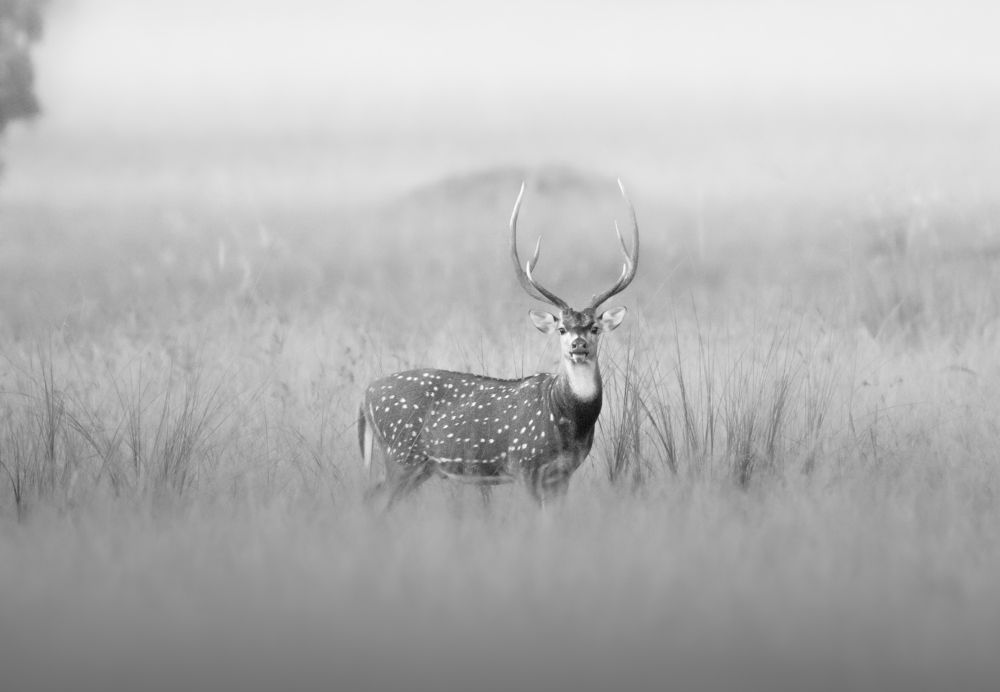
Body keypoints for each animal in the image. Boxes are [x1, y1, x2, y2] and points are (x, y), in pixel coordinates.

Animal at [358, 179, 639, 507]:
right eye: (561, 329)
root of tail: (365, 396)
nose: (578, 345)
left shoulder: (563, 472)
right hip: (402, 455)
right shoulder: (525, 463)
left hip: (411, 464)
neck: (568, 419)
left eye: (594, 327)